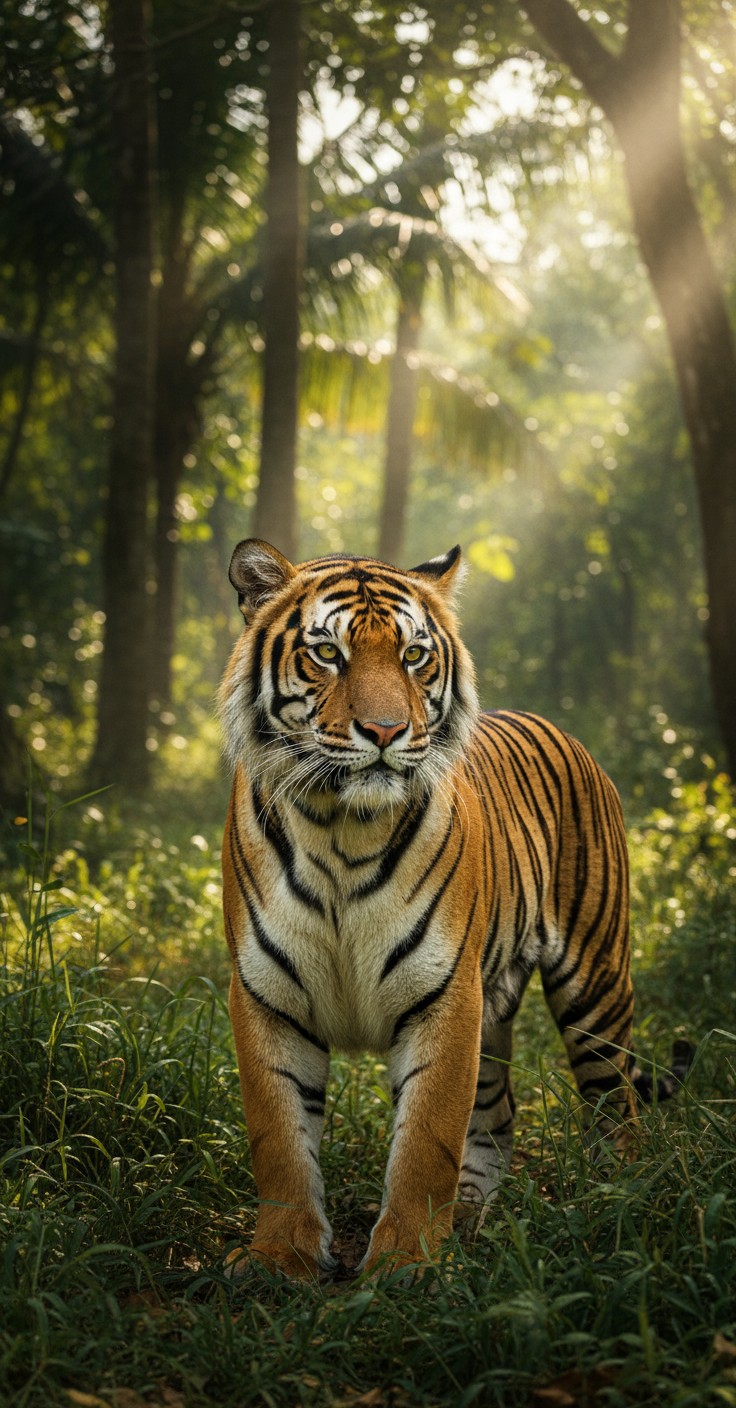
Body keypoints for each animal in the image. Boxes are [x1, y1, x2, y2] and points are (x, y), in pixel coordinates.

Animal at [219, 537, 639, 1281]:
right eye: (327, 653)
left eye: (414, 655)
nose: (386, 730)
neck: (340, 829)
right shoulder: (266, 994)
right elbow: (278, 1137)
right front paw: (278, 1255)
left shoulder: (444, 994)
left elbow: (427, 1139)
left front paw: (407, 1264)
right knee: (498, 1113)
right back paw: (472, 1216)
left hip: (595, 983)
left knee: (619, 1099)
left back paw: (623, 1206)